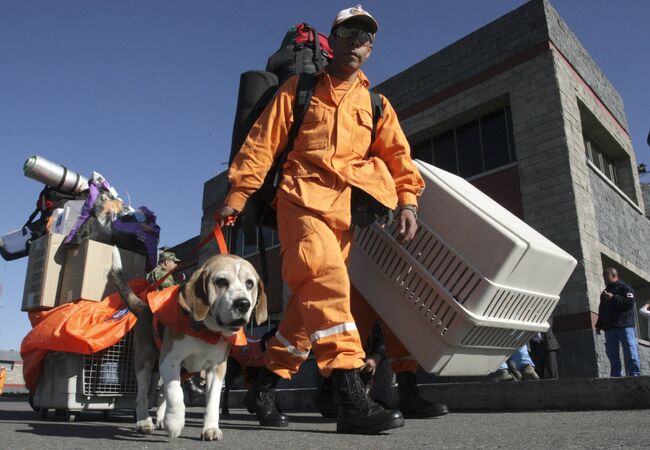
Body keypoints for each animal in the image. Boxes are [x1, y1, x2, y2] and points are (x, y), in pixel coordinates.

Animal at [109, 248, 266, 442]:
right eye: (221, 281)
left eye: (250, 284)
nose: (243, 304)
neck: (206, 331)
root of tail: (144, 306)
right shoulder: (170, 360)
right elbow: (175, 393)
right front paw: (175, 423)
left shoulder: (216, 368)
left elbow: (212, 400)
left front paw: (210, 428)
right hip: (145, 360)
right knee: (143, 395)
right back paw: (144, 422)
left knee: (162, 392)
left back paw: (161, 418)